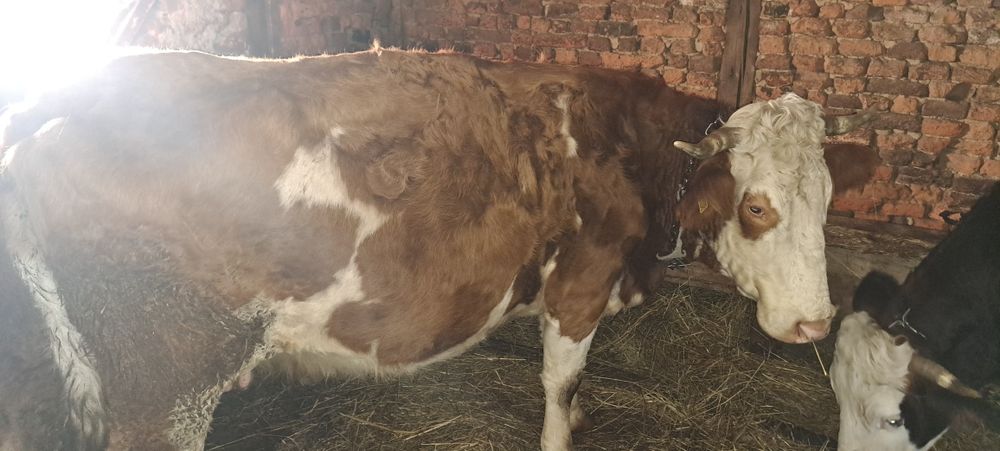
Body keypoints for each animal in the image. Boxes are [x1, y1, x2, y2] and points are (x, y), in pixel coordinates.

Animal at [0, 48, 876, 450]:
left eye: (830, 200)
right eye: (756, 205)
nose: (815, 322)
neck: (622, 144)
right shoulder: (579, 286)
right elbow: (560, 386)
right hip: (166, 382)